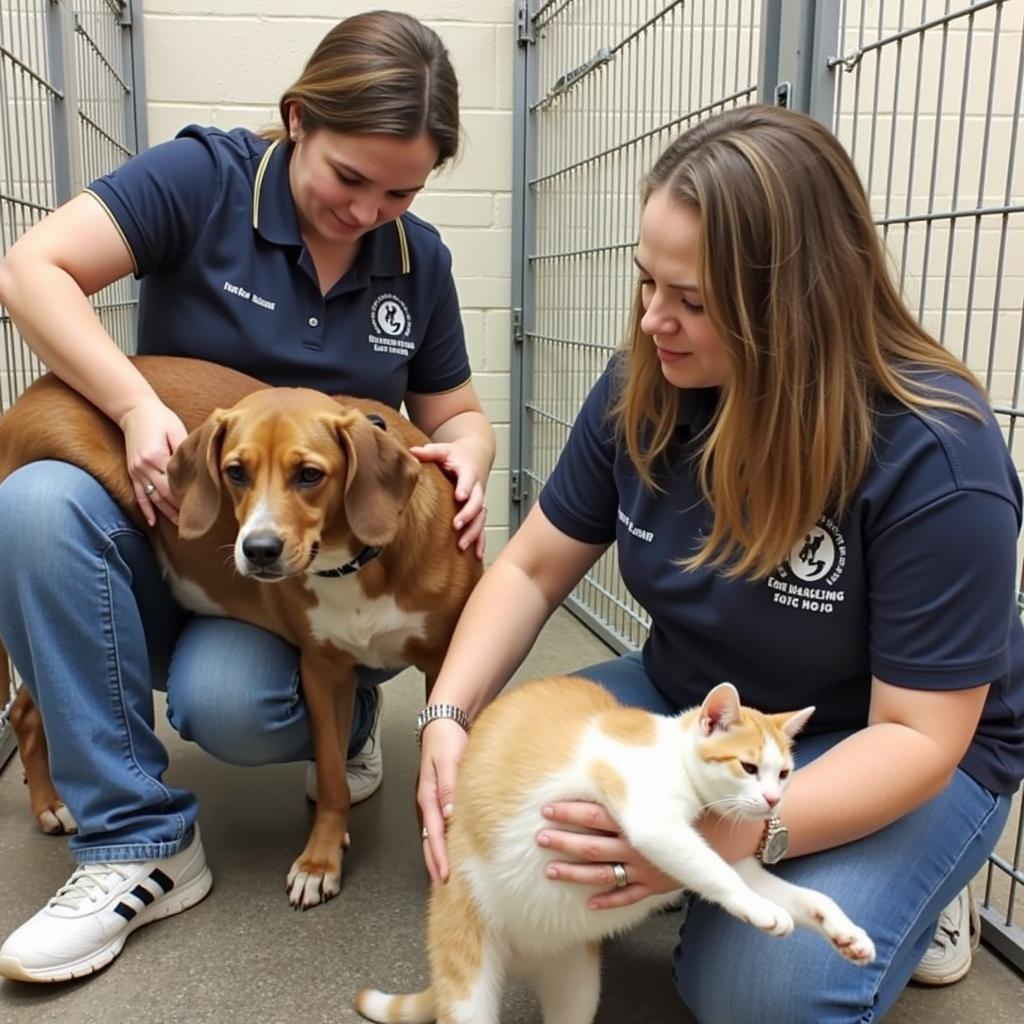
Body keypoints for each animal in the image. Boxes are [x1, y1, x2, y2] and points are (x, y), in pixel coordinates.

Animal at [0, 356, 479, 909]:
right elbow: (332, 778)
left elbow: (438, 767)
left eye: (309, 475)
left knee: (26, 707)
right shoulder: (323, 673)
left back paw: (50, 803)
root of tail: (29, 397)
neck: (354, 563)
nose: (259, 550)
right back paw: (51, 803)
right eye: (235, 472)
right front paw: (320, 860)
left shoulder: (445, 662)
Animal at [354, 675, 872, 1019]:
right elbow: (714, 870)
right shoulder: (652, 819)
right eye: (747, 767)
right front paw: (760, 909)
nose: (772, 801)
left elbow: (806, 897)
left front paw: (844, 932)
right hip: (469, 970)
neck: (674, 756)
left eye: (783, 773)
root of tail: (522, 958)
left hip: (576, 983)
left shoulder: (736, 854)